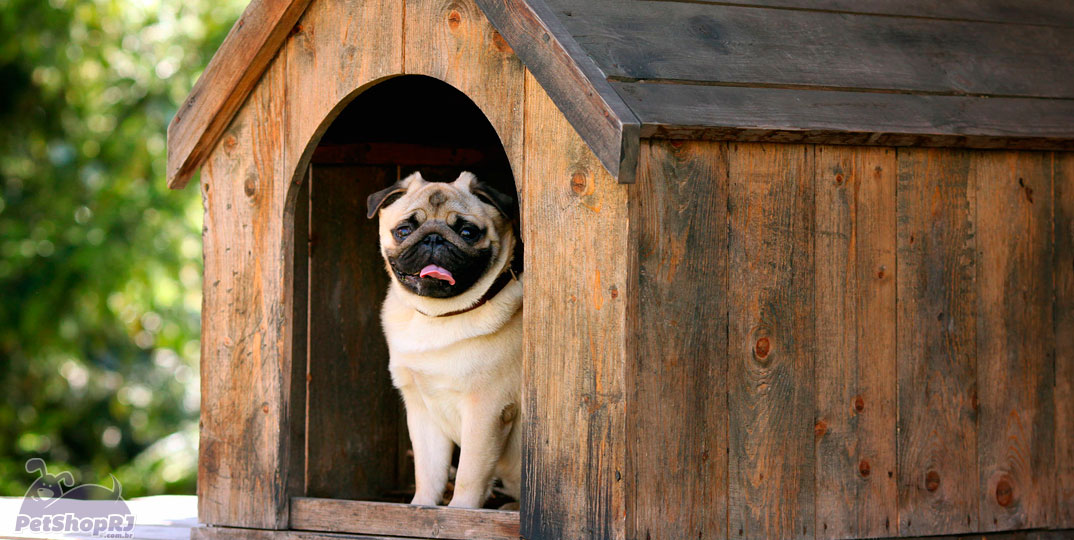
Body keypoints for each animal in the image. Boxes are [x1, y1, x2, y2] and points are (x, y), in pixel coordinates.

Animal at [367, 170, 521, 508]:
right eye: (404, 230)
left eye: (467, 232)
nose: (434, 238)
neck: (438, 317)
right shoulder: (422, 411)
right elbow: (429, 472)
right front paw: (422, 507)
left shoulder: (485, 411)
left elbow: (469, 475)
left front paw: (461, 512)